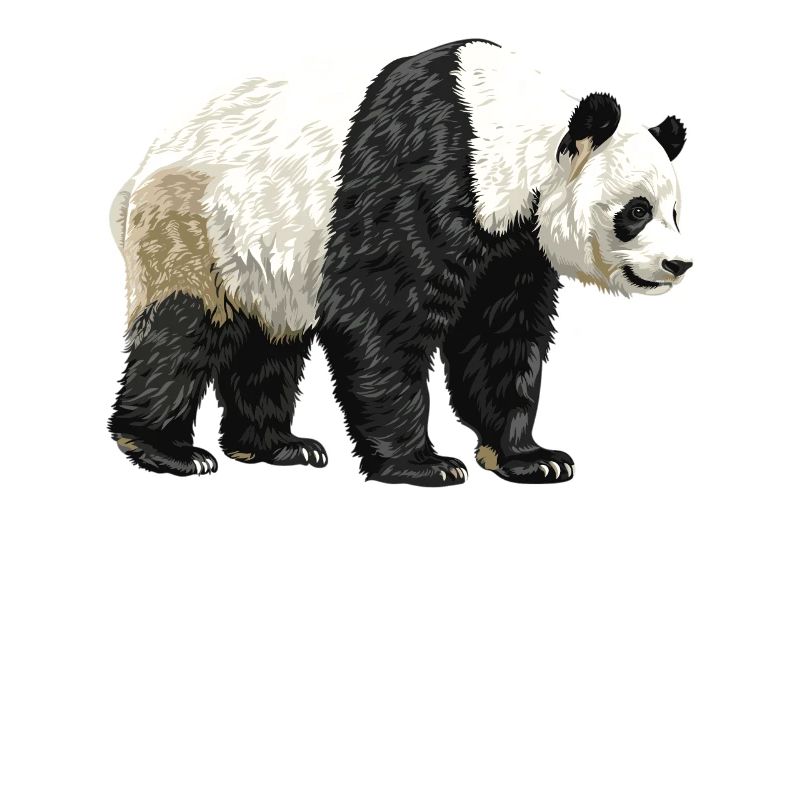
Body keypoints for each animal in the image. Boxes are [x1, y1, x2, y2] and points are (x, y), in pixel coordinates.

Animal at [109, 39, 692, 486]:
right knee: (183, 329)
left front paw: (531, 459)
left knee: (269, 342)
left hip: (264, 252)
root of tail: (135, 176)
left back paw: (277, 446)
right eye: (636, 210)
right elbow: (379, 318)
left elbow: (502, 335)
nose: (678, 264)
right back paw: (167, 450)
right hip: (195, 224)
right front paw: (424, 465)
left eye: (675, 211)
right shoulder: (424, 176)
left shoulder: (512, 246)